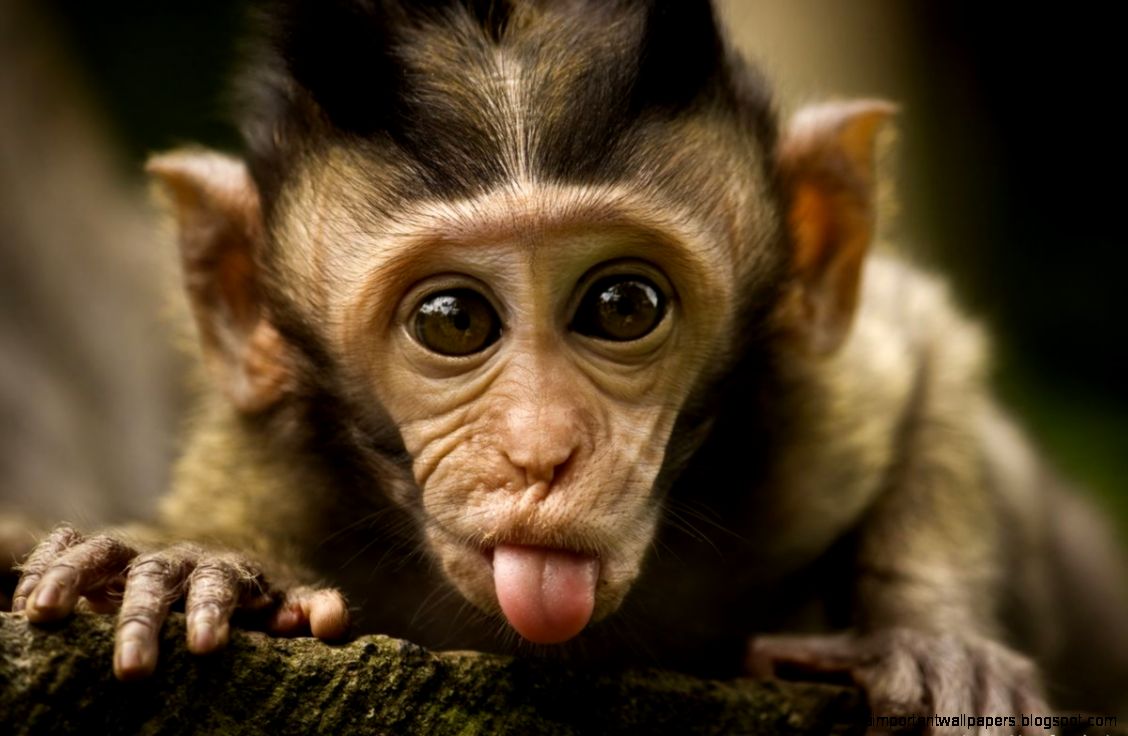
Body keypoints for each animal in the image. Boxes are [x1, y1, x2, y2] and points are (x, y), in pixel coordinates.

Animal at [10, 0, 1128, 724]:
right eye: (453, 320)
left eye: (622, 306)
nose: (540, 452)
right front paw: (193, 562)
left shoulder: (816, 420)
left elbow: (927, 349)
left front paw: (932, 639)